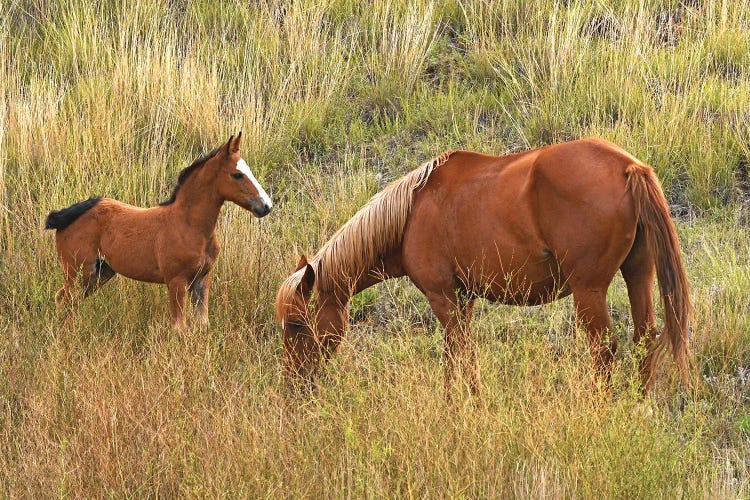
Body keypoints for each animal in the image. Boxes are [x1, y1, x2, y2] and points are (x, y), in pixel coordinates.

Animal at [46, 133, 274, 328]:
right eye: (237, 175)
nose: (266, 206)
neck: (189, 225)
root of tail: (64, 216)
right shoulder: (176, 282)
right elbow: (180, 328)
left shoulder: (202, 280)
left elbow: (202, 325)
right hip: (77, 272)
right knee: (65, 301)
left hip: (99, 273)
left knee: (66, 301)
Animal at [276, 137, 692, 394]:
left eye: (297, 325)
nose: (293, 383)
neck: (410, 214)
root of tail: (629, 167)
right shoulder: (464, 299)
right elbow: (459, 355)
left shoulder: (442, 297)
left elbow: (459, 353)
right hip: (638, 274)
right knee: (644, 339)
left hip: (588, 291)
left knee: (604, 350)